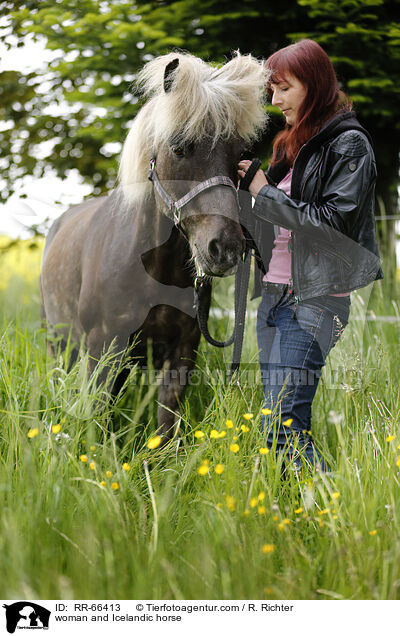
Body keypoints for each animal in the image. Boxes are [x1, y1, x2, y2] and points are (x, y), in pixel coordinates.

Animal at [40, 51, 268, 438]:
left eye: (239, 155)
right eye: (179, 148)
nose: (225, 247)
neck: (150, 267)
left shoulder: (181, 354)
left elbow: (164, 429)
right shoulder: (103, 349)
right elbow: (98, 422)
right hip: (62, 345)